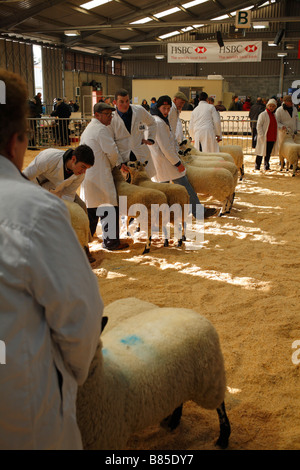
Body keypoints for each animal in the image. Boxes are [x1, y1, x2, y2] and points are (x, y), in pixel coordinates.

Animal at [76, 298, 231, 452]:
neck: (106, 374)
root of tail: (189, 311)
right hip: (180, 378)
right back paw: (173, 422)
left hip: (209, 376)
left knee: (220, 406)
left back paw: (223, 439)